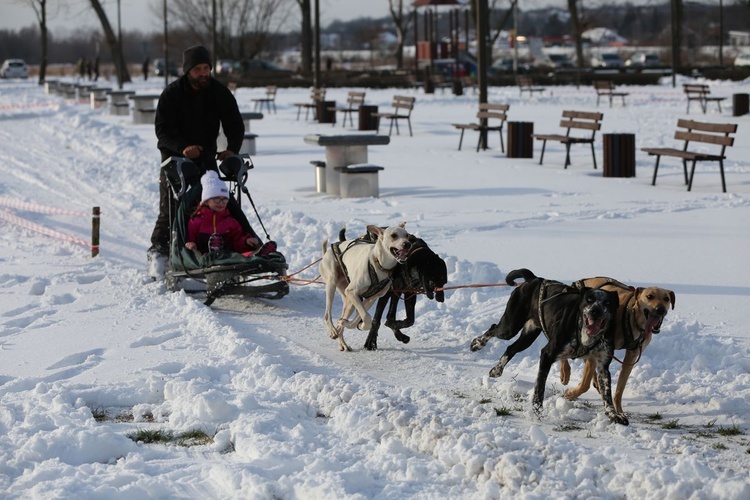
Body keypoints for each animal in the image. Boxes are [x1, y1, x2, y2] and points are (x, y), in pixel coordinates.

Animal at [318, 224, 412, 352]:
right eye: (394, 235)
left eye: (407, 235)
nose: (407, 244)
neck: (378, 264)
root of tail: (326, 252)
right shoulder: (352, 292)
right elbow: (367, 317)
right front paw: (358, 325)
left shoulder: (370, 299)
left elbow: (361, 318)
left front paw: (354, 325)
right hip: (332, 283)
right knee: (327, 314)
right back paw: (332, 331)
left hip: (349, 302)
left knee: (342, 320)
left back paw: (342, 341)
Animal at [472, 268, 624, 424]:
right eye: (589, 299)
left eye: (607, 302)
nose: (595, 311)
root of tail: (535, 279)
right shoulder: (547, 355)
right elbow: (540, 386)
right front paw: (537, 411)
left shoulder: (603, 366)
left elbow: (607, 394)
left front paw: (613, 414)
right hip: (510, 327)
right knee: (494, 328)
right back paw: (478, 344)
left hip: (528, 336)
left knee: (511, 348)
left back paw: (497, 369)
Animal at [560, 280, 680, 416]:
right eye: (650, 296)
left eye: (666, 299)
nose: (660, 309)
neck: (633, 318)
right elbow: (585, 384)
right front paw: (571, 393)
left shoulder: (631, 357)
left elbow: (620, 387)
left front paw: (619, 411)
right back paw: (565, 372)